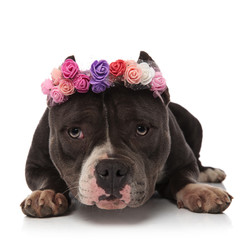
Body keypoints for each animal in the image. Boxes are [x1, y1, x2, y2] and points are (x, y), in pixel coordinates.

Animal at [21, 52, 232, 218]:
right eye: (75, 132)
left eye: (141, 129)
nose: (111, 169)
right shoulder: (35, 166)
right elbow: (50, 176)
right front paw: (45, 194)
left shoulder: (184, 162)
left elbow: (183, 178)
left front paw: (201, 191)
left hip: (193, 122)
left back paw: (209, 172)